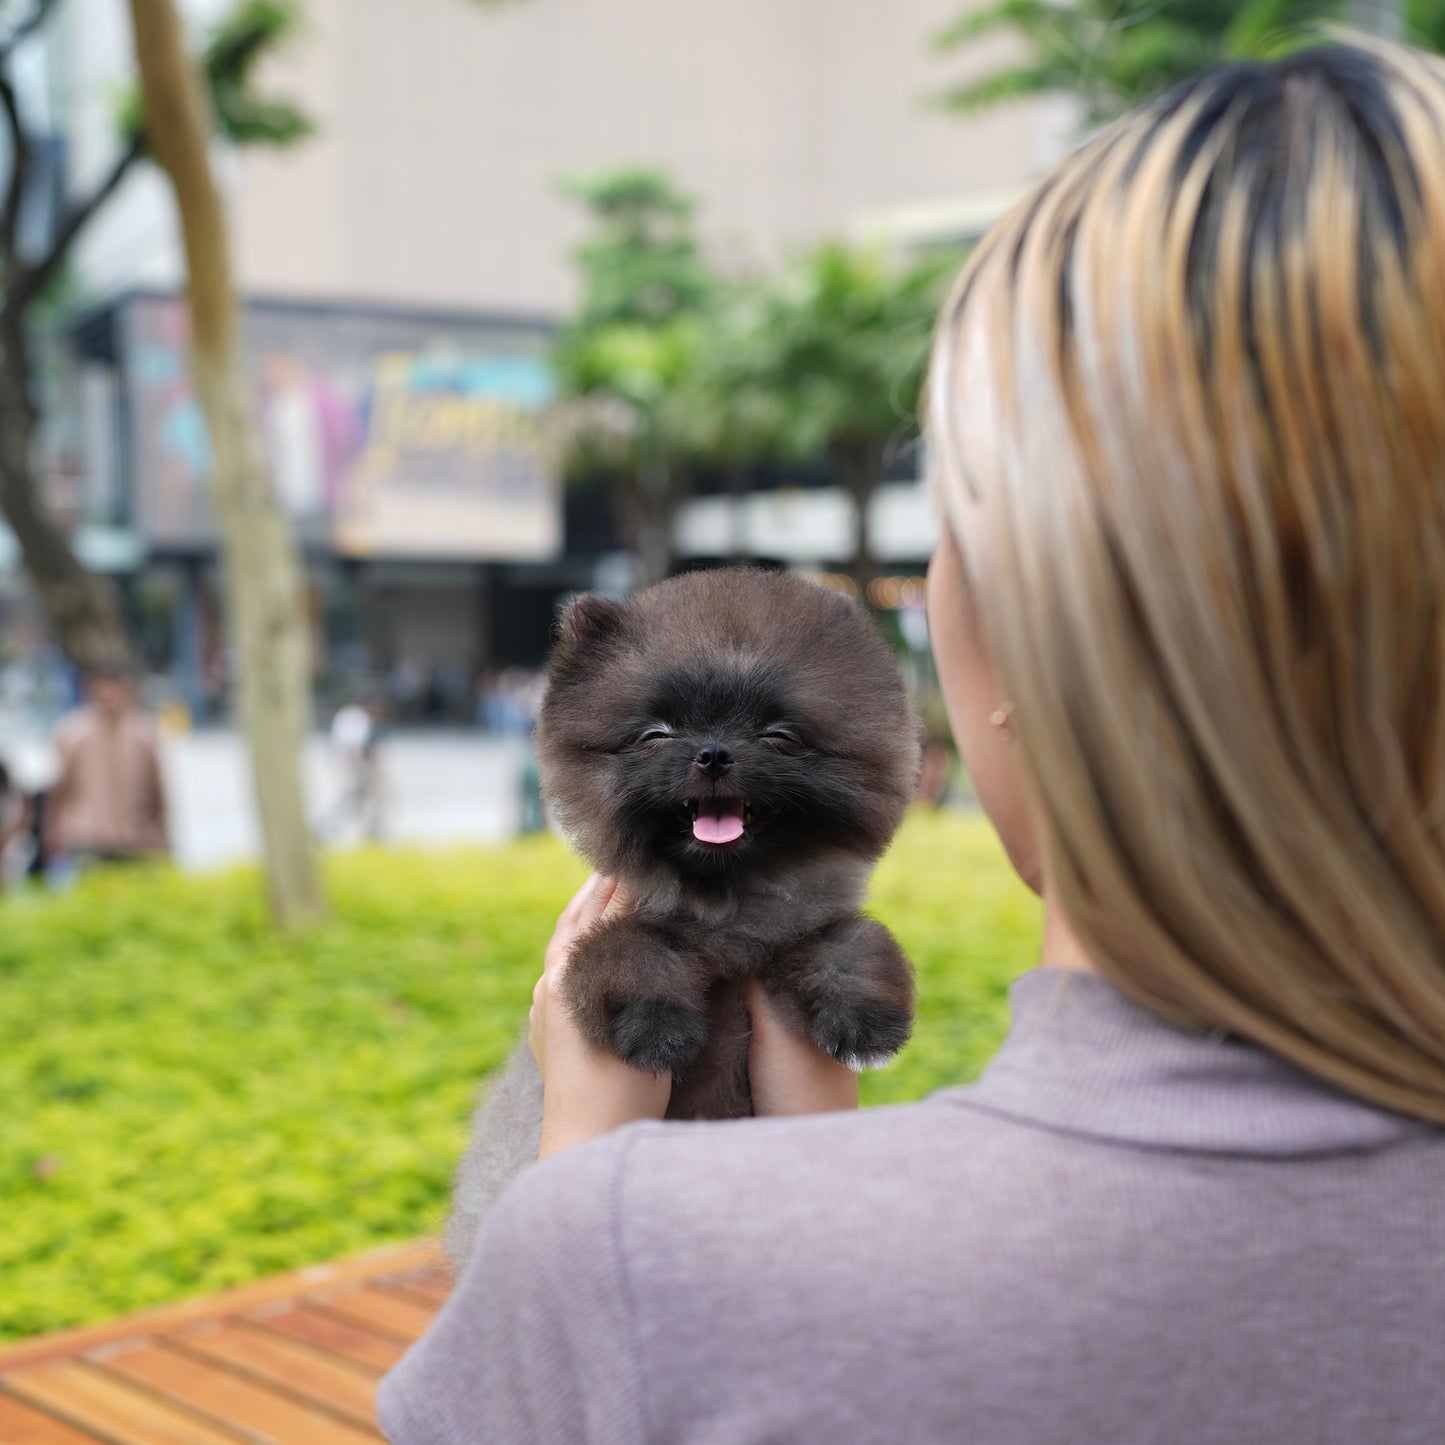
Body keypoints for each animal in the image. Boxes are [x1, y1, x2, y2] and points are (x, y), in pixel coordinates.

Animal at [445, 569, 919, 1271]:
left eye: (778, 737)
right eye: (657, 735)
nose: (714, 753)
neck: (725, 906)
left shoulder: (800, 924)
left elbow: (851, 936)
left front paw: (865, 1017)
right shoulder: (612, 938)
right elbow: (626, 947)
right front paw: (657, 1025)